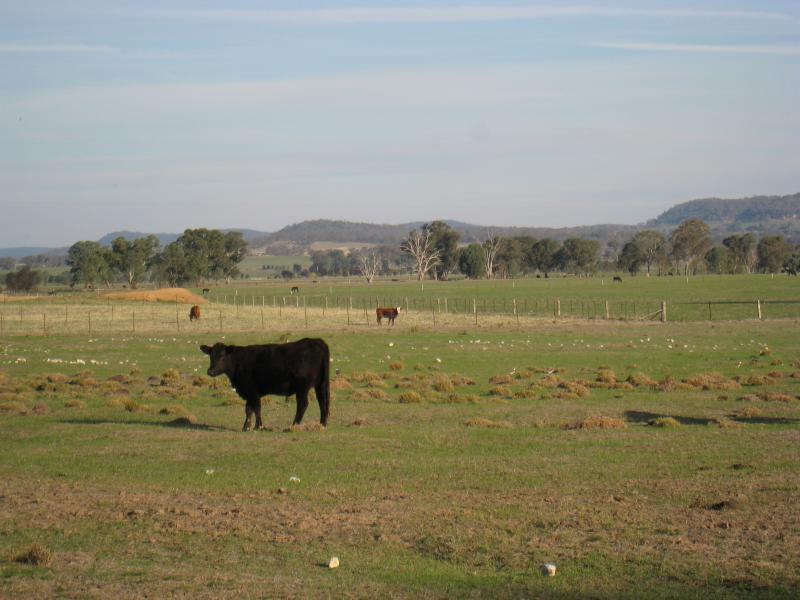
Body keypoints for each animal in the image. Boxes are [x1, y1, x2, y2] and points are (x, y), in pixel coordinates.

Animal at [200, 338, 330, 431]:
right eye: (210, 355)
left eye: (222, 356)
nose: (210, 371)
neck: (238, 362)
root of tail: (317, 341)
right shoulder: (249, 392)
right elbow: (248, 409)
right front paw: (246, 427)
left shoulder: (252, 390)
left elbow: (256, 408)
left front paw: (258, 426)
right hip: (320, 384)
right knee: (322, 402)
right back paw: (322, 424)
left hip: (302, 387)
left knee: (303, 404)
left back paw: (294, 425)